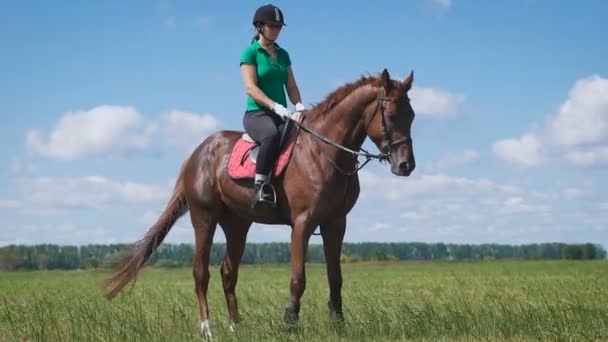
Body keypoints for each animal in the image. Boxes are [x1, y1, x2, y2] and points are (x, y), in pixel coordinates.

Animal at [105, 68, 418, 338]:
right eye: (391, 115)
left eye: (412, 115)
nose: (406, 166)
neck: (324, 152)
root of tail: (198, 153)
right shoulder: (302, 223)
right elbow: (298, 278)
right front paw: (289, 324)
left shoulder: (335, 224)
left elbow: (335, 277)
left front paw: (338, 324)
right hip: (204, 217)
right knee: (201, 273)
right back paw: (208, 329)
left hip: (237, 224)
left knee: (228, 273)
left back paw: (236, 327)